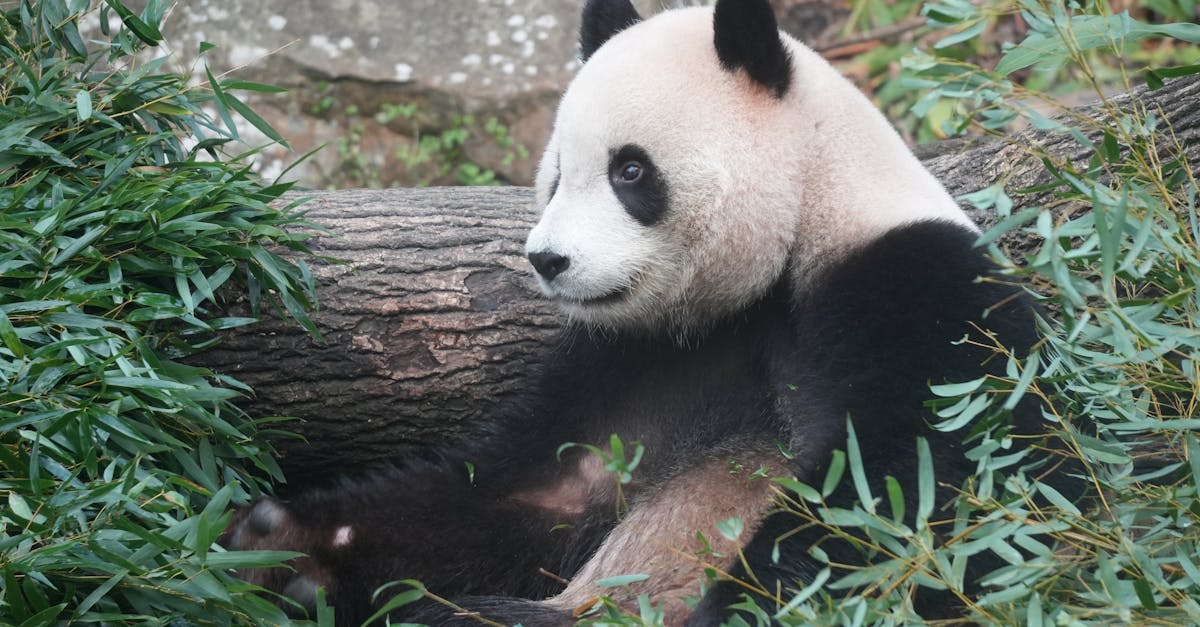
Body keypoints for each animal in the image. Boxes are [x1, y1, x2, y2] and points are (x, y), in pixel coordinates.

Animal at [225, 0, 1051, 619]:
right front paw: (286, 544)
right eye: (557, 175)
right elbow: (538, 489)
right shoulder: (642, 354)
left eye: (629, 171)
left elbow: (922, 486)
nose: (547, 260)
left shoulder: (912, 287)